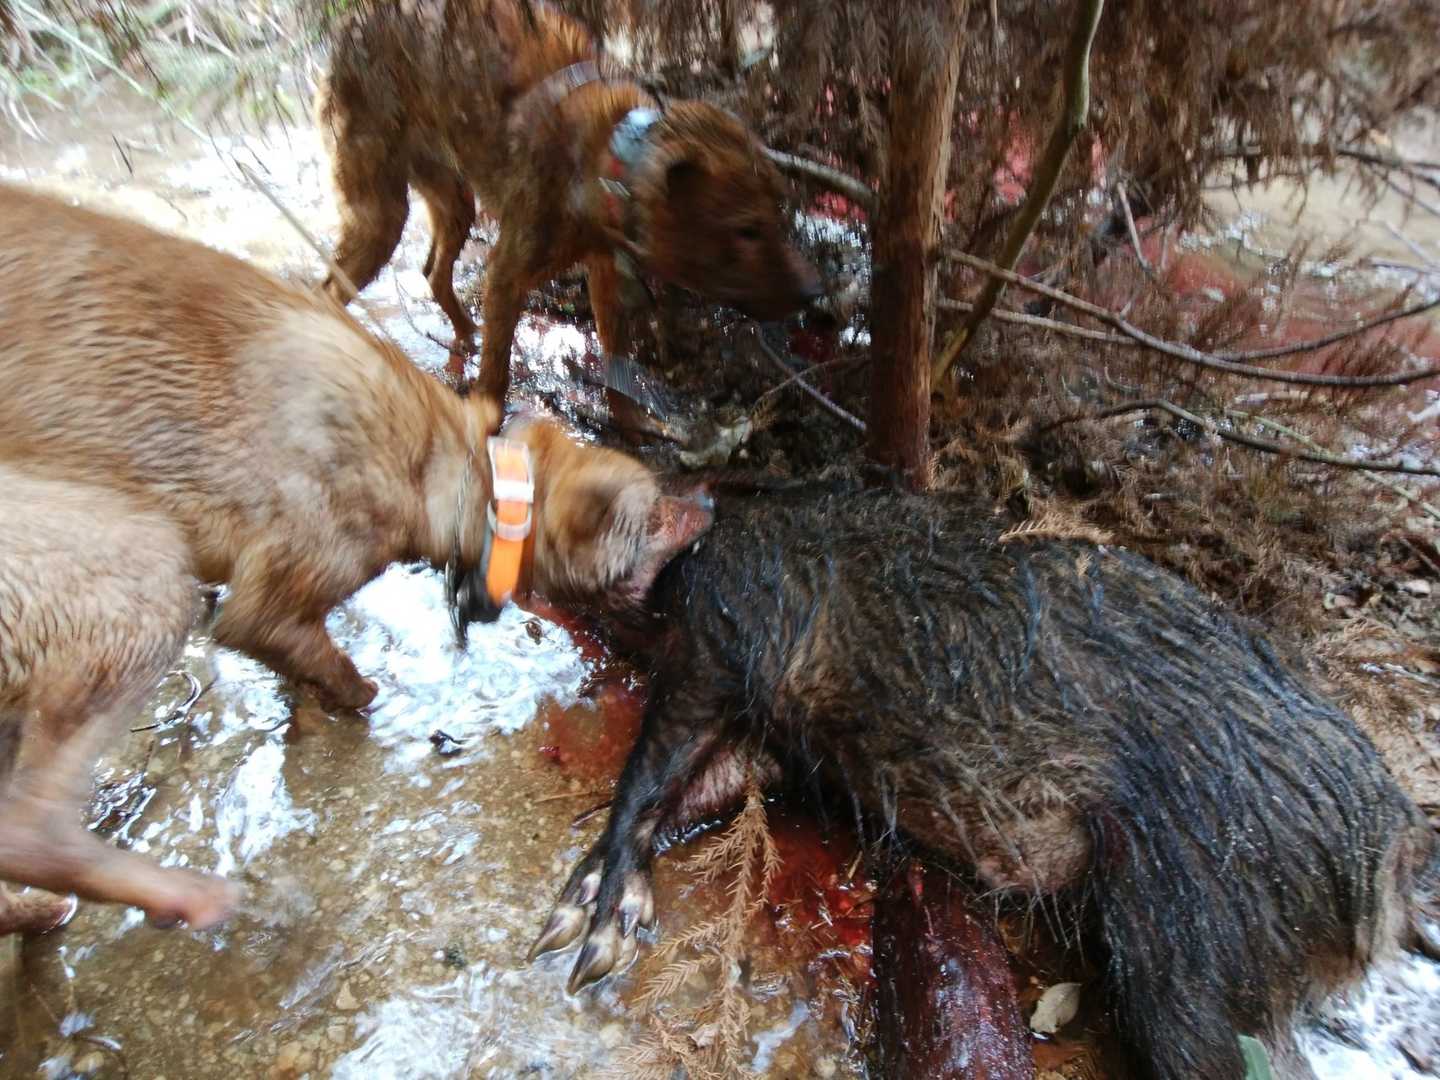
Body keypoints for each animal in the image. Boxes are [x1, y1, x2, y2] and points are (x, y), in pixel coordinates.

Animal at [0, 183, 712, 936]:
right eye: (657, 514)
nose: (713, 498)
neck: (448, 468)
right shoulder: (264, 603)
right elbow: (334, 669)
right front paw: (359, 699)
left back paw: (31, 911)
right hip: (139, 576)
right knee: (32, 825)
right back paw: (182, 896)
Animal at [315, 0, 821, 398]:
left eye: (778, 215)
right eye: (746, 230)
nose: (815, 293)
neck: (609, 158)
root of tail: (348, 24)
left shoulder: (604, 270)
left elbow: (617, 365)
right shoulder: (506, 275)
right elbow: (495, 383)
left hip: (455, 199)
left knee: (435, 273)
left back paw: (464, 334)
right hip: (379, 216)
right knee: (328, 291)